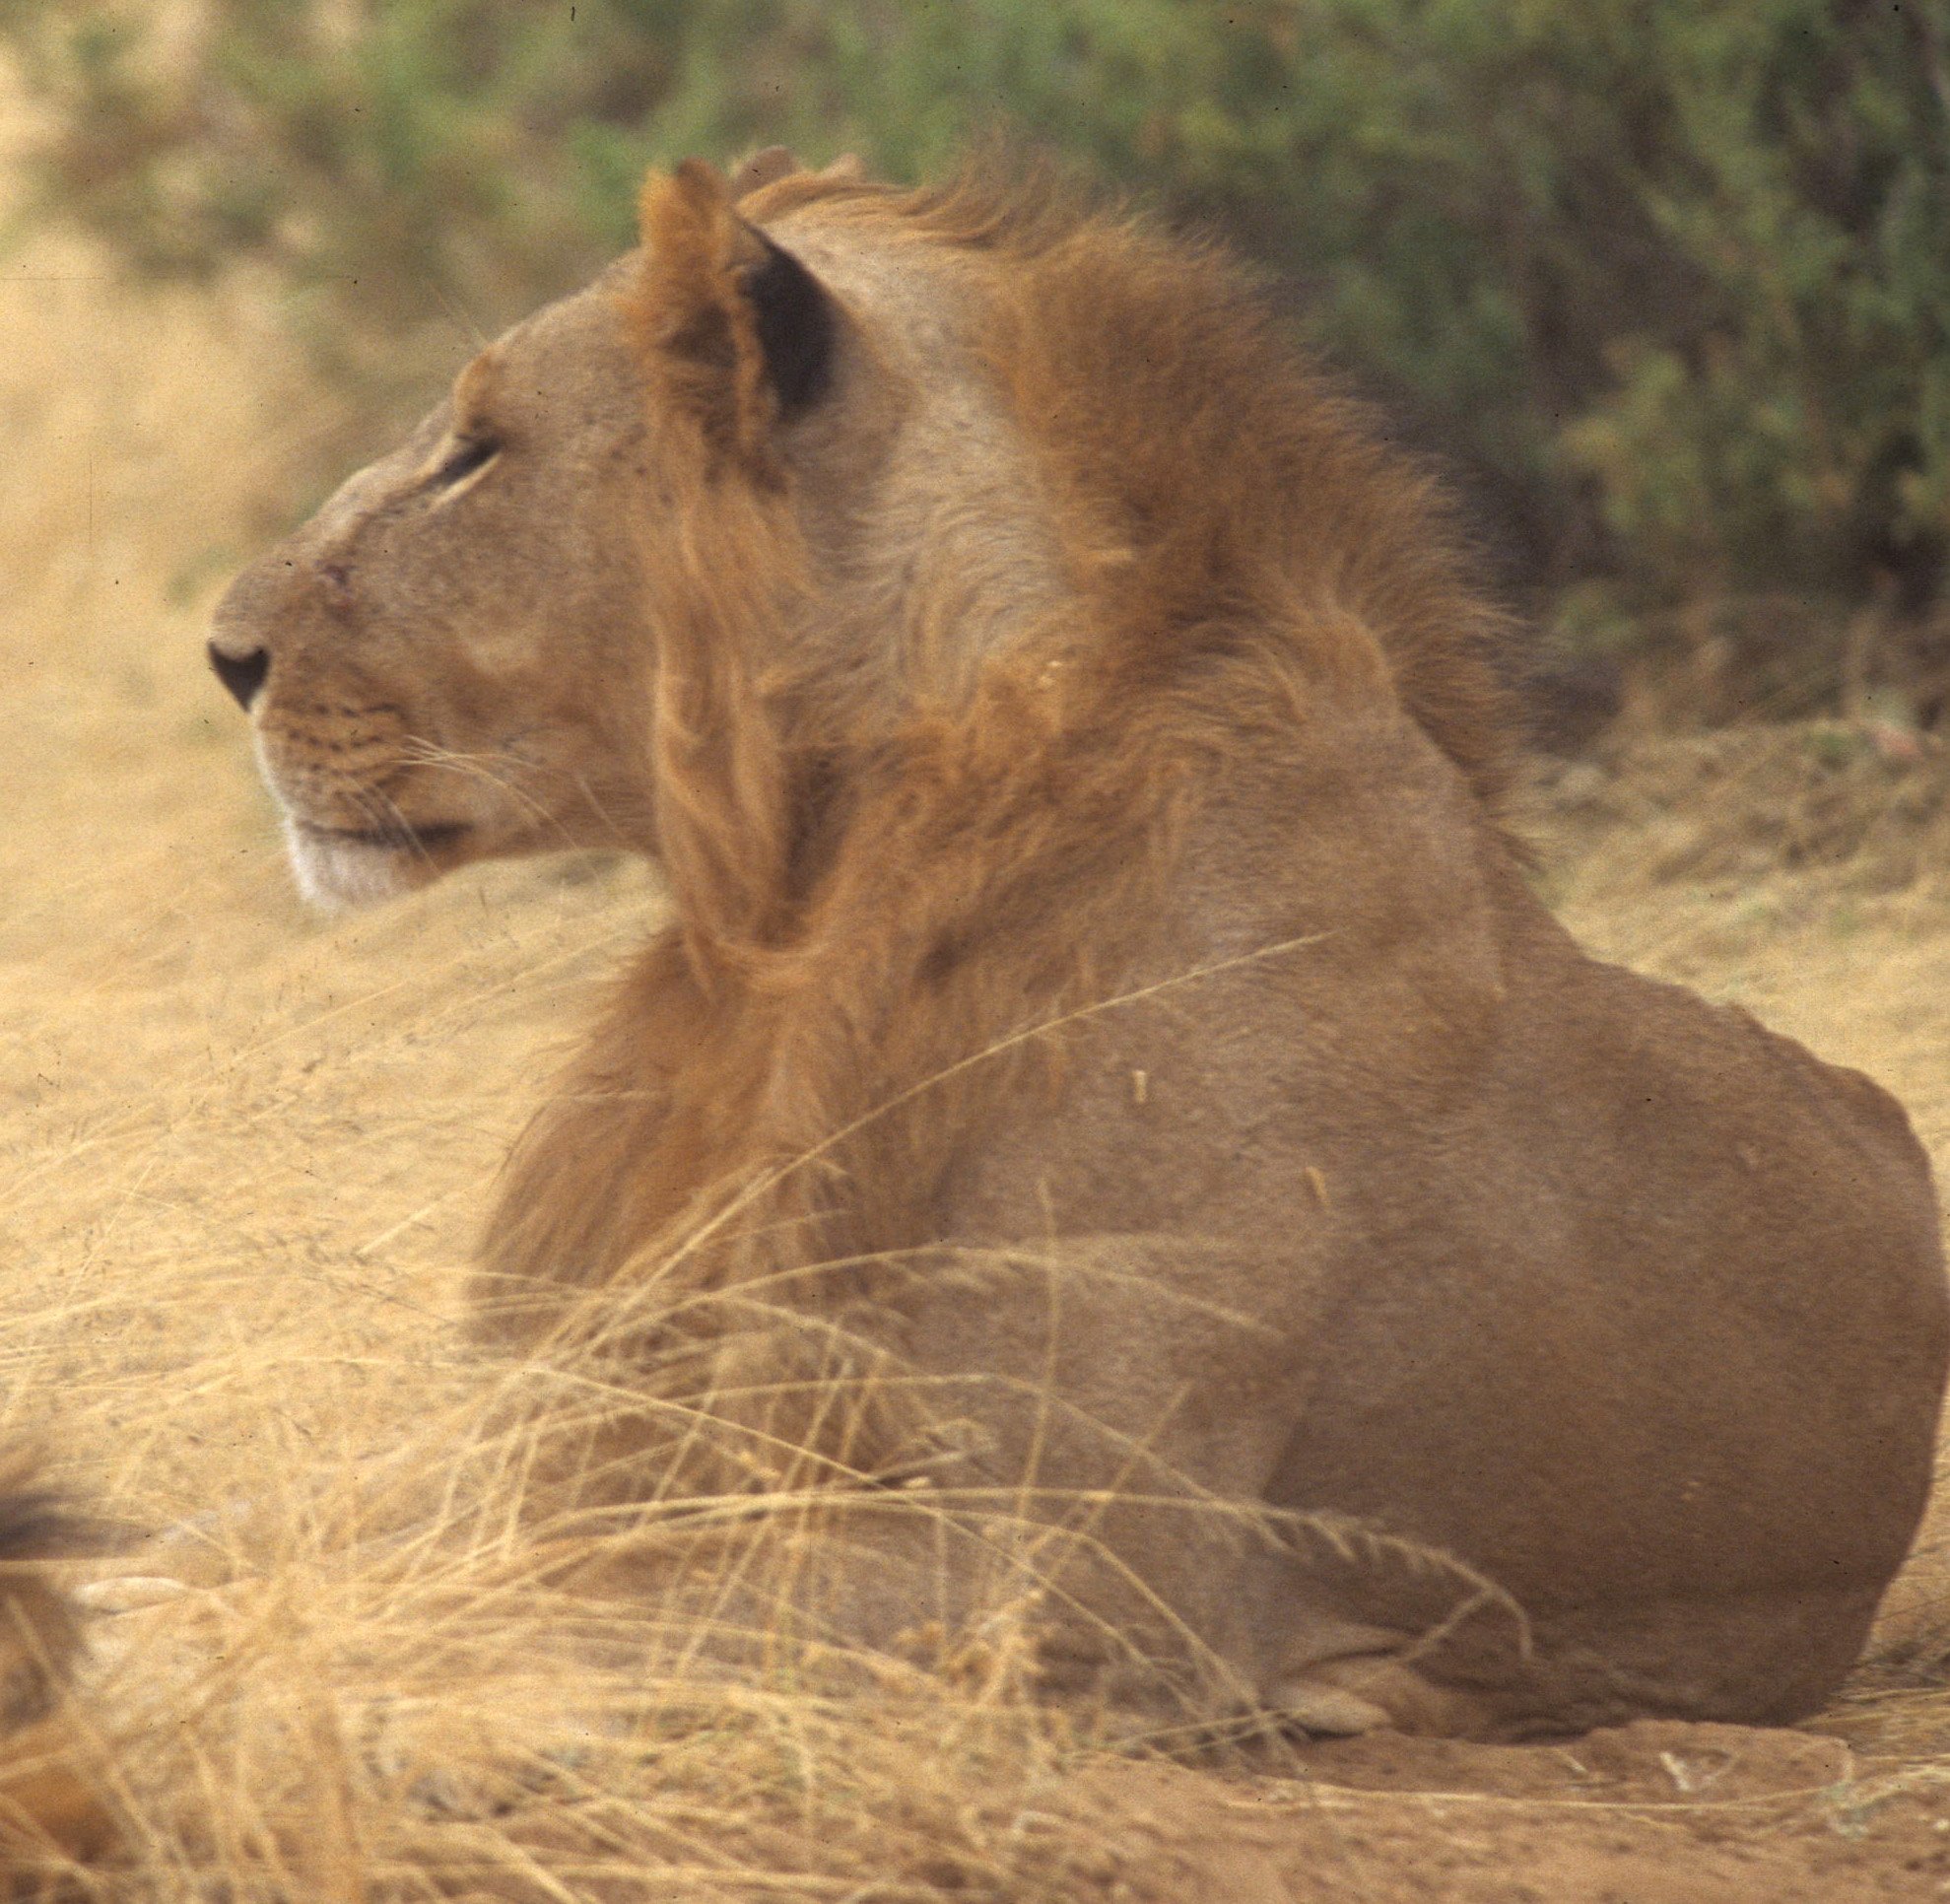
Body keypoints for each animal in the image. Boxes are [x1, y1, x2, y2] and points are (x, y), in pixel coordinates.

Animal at [208, 148, 1948, 1740]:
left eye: (475, 455)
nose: (223, 655)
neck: (802, 901)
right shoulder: (597, 1427)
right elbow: (273, 1521)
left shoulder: (1082, 1570)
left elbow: (547, 1608)